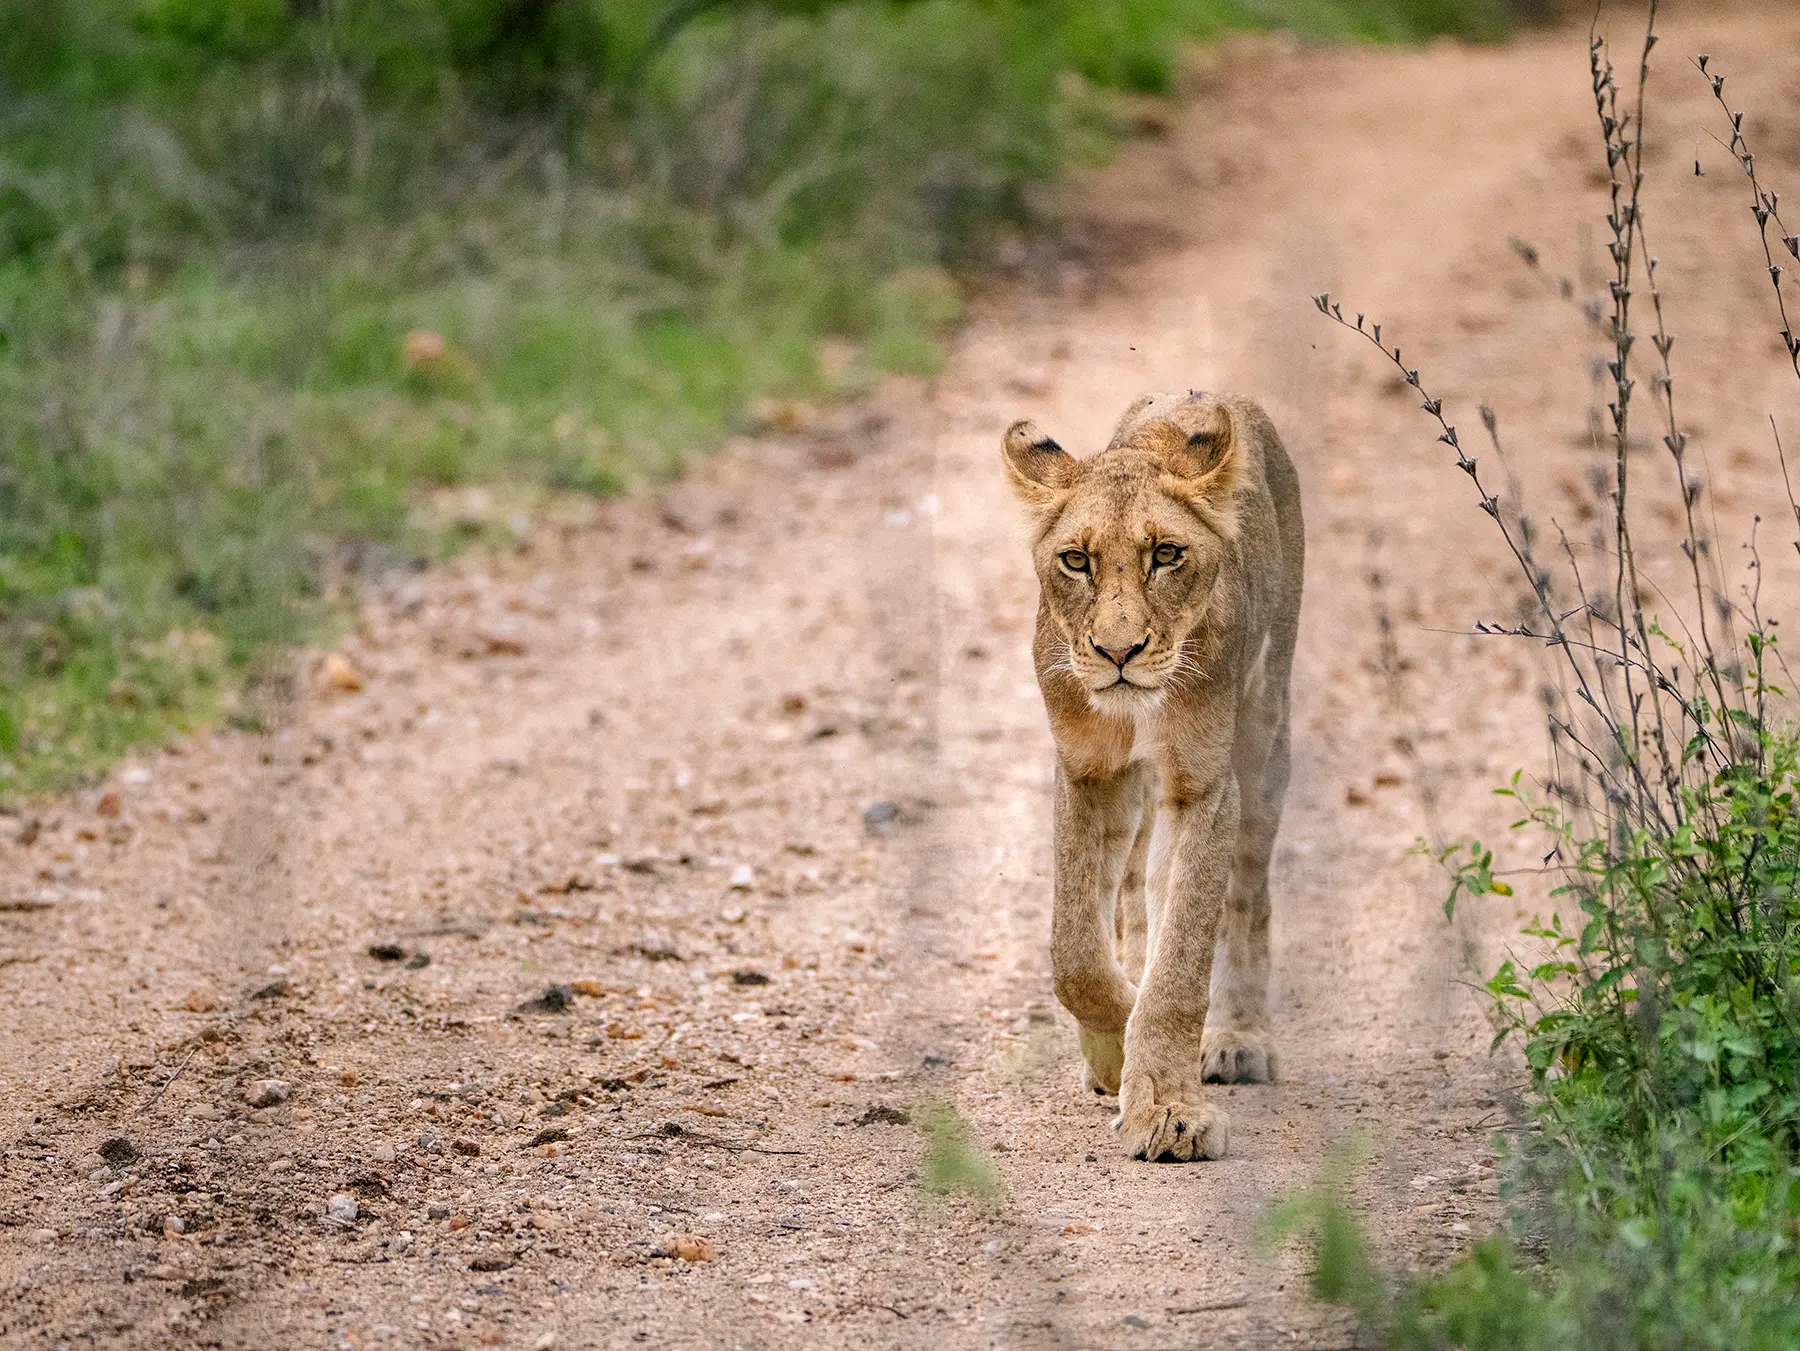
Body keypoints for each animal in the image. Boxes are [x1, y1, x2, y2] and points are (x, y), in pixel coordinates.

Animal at [1002, 390, 1304, 1161]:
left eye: (1166, 554)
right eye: (1075, 560)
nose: (1118, 652)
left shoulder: (1202, 783)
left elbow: (1180, 964)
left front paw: (1169, 1110)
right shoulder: (1089, 770)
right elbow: (1076, 952)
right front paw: (1114, 1052)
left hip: (1263, 735)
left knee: (1246, 894)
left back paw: (1237, 1038)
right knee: (1138, 894)